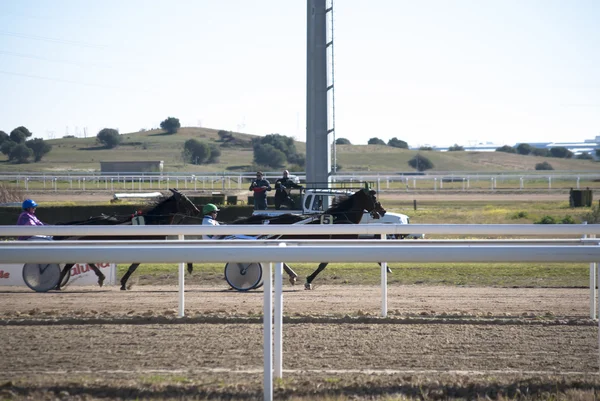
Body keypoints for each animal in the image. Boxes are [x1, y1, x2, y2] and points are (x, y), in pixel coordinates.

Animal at [53, 189, 202, 290]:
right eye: (184, 199)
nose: (196, 210)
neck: (153, 221)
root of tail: (88, 222)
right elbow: (134, 266)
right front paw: (124, 283)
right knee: (76, 262)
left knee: (75, 262)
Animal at [230, 186, 384, 290]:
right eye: (374, 198)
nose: (383, 211)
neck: (341, 217)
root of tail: (273, 219)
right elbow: (323, 264)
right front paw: (308, 280)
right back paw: (245, 271)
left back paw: (292, 275)